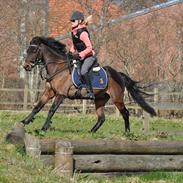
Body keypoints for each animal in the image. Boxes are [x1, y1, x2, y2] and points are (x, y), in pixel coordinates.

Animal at [21, 36, 156, 132]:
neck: (58, 68)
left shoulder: (61, 94)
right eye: (27, 50)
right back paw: (91, 131)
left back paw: (127, 133)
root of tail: (118, 74)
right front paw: (25, 121)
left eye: (34, 50)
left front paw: (44, 127)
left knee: (125, 113)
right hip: (100, 99)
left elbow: (52, 110)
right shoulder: (49, 92)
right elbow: (37, 107)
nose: (26, 66)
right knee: (102, 118)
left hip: (117, 98)